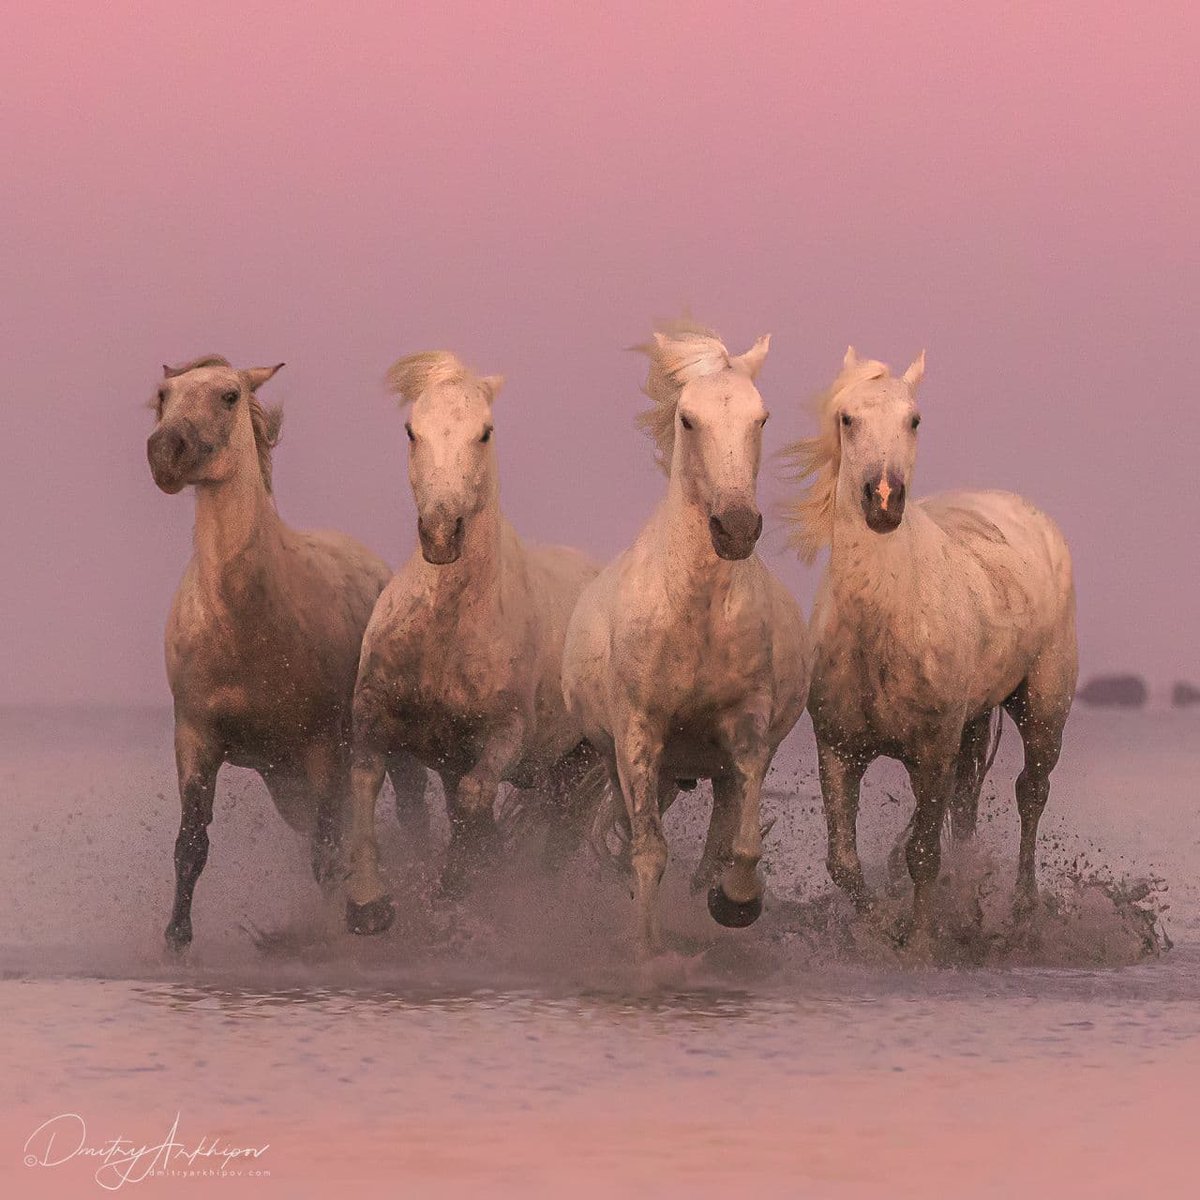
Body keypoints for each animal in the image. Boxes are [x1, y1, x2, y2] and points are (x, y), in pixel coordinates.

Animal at [147, 355, 426, 950]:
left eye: (229, 395)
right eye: (163, 395)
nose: (164, 453)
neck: (246, 623)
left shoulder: (321, 747)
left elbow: (327, 854)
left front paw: (329, 933)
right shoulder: (196, 739)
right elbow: (191, 846)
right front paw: (177, 938)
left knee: (410, 818)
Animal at [342, 351, 604, 935]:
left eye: (484, 432)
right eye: (411, 430)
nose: (442, 532)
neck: (444, 633)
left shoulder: (505, 734)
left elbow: (475, 797)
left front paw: (454, 883)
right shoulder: (376, 715)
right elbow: (366, 780)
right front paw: (367, 903)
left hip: (582, 766)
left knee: (563, 838)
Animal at [561, 319, 811, 957]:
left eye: (761, 417)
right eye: (688, 419)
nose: (736, 527)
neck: (694, 616)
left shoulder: (746, 732)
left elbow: (740, 845)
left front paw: (736, 902)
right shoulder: (638, 737)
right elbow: (649, 851)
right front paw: (647, 950)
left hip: (712, 768)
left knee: (719, 834)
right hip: (622, 760)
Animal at [782, 347, 1077, 955]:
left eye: (914, 419)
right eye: (847, 418)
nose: (884, 500)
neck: (881, 626)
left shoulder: (931, 751)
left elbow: (922, 854)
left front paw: (919, 942)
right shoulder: (837, 750)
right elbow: (843, 862)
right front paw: (879, 929)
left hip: (1042, 710)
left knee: (1031, 792)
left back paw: (1022, 912)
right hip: (974, 721)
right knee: (966, 805)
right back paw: (969, 911)